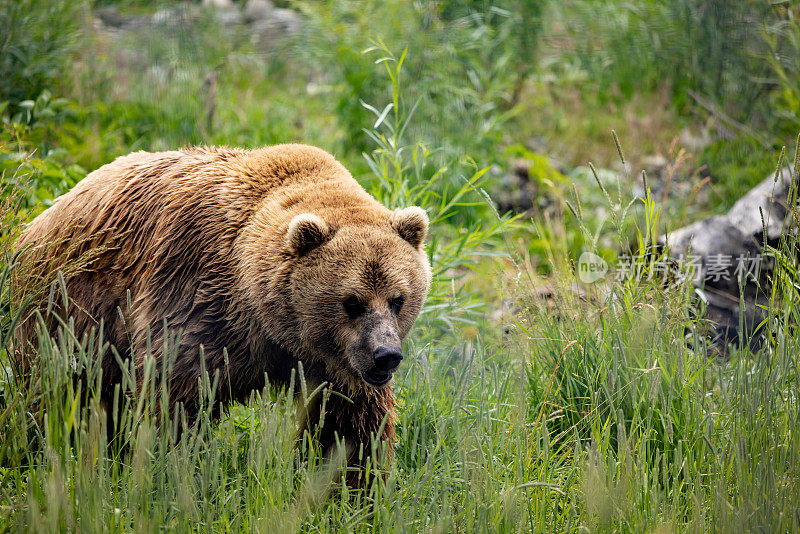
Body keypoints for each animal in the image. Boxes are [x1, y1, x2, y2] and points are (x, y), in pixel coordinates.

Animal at [14, 144, 432, 488]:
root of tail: (36, 223)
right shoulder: (197, 300)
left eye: (397, 299)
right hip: (66, 314)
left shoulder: (332, 362)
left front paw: (353, 491)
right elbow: (171, 400)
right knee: (53, 393)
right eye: (352, 302)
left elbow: (347, 427)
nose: (385, 355)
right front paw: (164, 469)